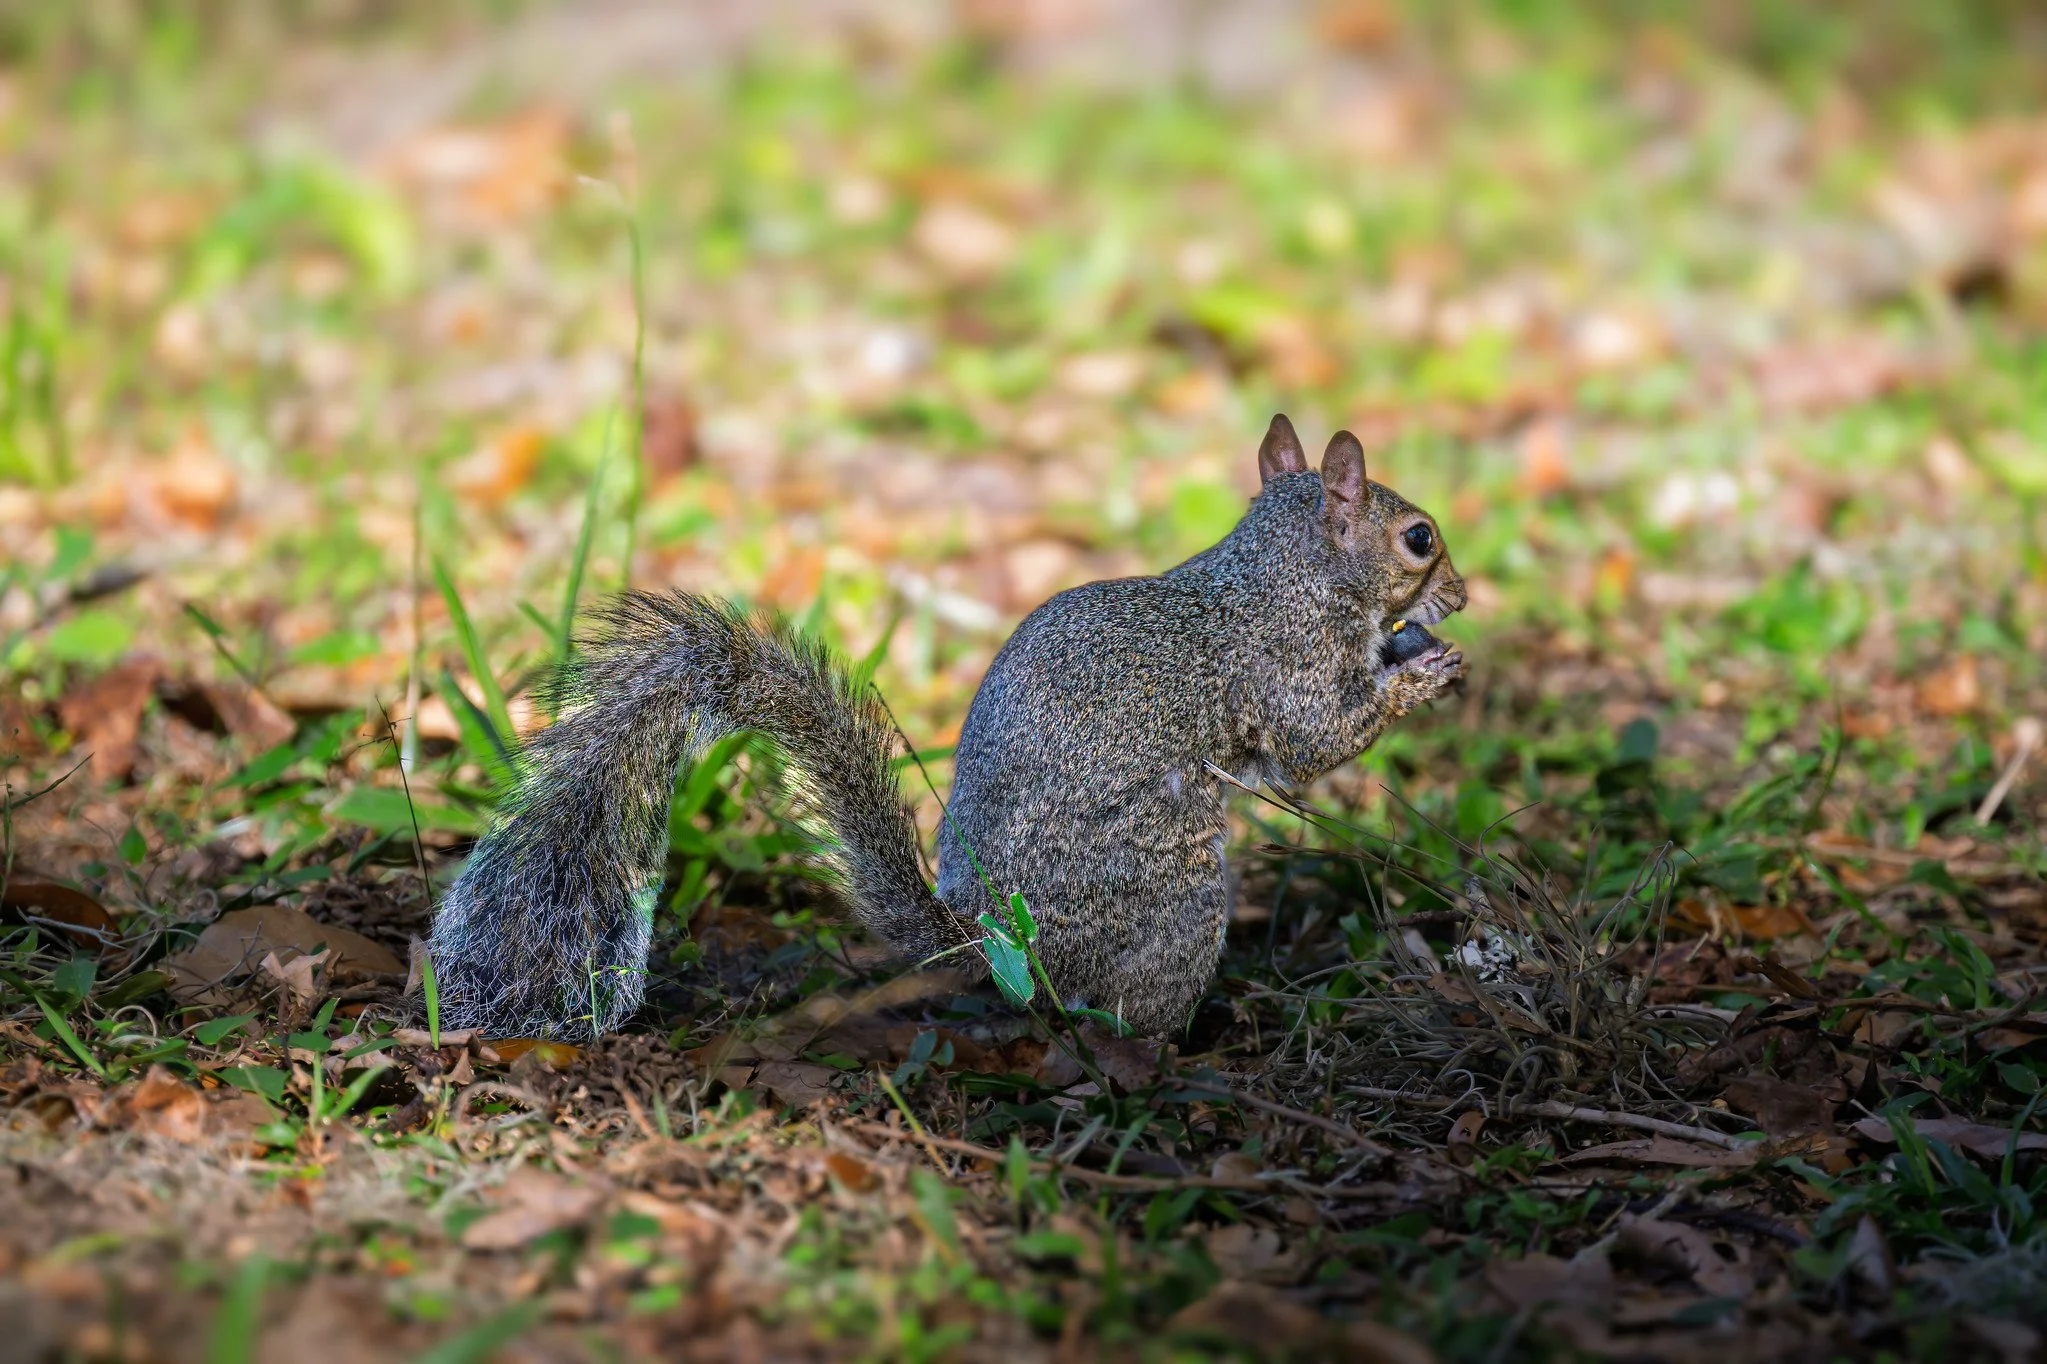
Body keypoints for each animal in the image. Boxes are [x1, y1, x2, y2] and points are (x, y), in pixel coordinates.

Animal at [426, 415, 1467, 1040]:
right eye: (1418, 538)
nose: (1460, 596)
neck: (1280, 573)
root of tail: (990, 947)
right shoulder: (1284, 666)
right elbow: (1317, 742)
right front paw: (1425, 671)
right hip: (1178, 899)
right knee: (1113, 1014)